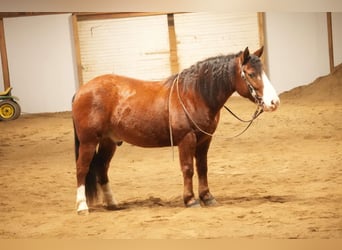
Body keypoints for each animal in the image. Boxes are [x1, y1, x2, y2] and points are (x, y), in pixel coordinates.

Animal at [72, 46, 280, 214]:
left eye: (264, 72)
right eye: (250, 73)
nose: (274, 102)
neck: (195, 95)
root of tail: (82, 90)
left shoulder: (204, 139)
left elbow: (202, 167)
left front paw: (207, 198)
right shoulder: (186, 139)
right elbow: (188, 168)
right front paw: (190, 200)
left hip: (109, 141)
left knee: (102, 168)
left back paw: (113, 204)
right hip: (89, 141)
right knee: (82, 168)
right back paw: (82, 206)